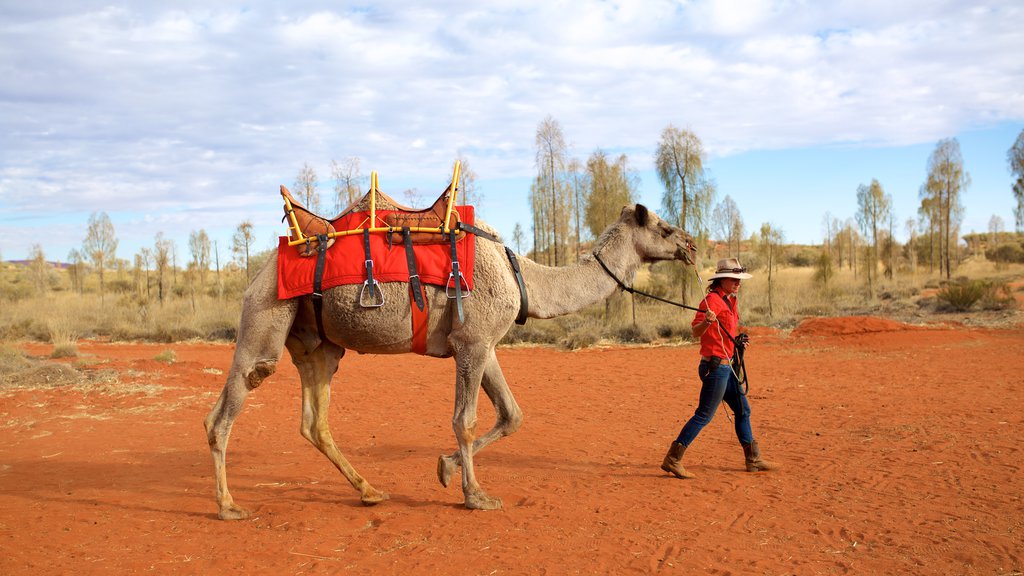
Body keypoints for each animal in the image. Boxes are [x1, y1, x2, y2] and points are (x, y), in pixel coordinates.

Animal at [201, 193, 696, 520]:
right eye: (663, 228)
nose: (691, 246)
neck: (522, 276)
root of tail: (260, 271)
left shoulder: (483, 343)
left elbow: (512, 414)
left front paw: (445, 468)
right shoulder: (473, 342)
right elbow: (466, 420)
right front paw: (475, 496)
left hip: (318, 344)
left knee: (313, 422)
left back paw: (370, 491)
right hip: (266, 316)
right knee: (228, 406)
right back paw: (229, 506)